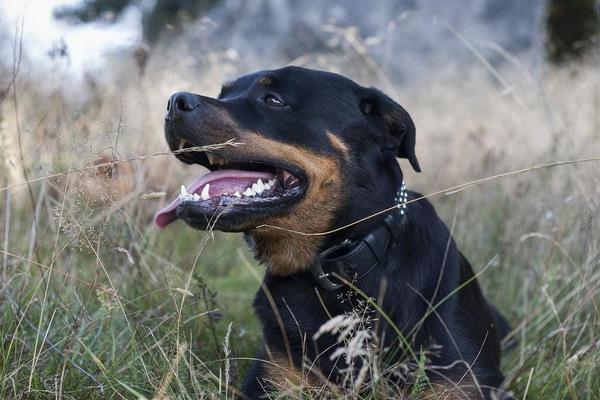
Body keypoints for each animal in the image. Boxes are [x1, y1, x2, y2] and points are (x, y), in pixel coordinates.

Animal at [154, 67, 510, 398]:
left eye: (273, 100)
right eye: (223, 93)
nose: (173, 102)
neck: (342, 270)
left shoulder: (465, 381)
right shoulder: (274, 377)